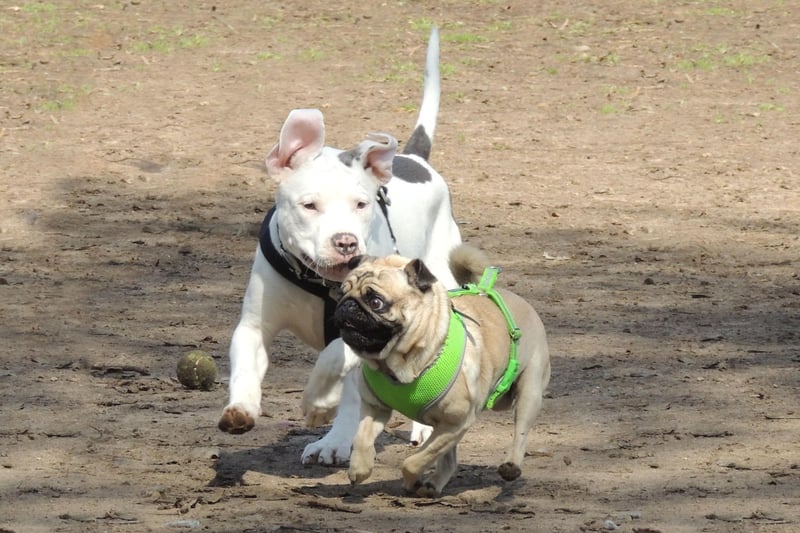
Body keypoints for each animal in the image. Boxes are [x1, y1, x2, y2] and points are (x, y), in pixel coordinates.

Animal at [219, 27, 462, 464]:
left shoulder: (367, 327)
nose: (345, 242)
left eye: (361, 204)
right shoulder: (254, 325)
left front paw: (317, 401)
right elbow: (245, 364)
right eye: (309, 205)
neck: (321, 284)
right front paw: (241, 409)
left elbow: (334, 356)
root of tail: (415, 159)